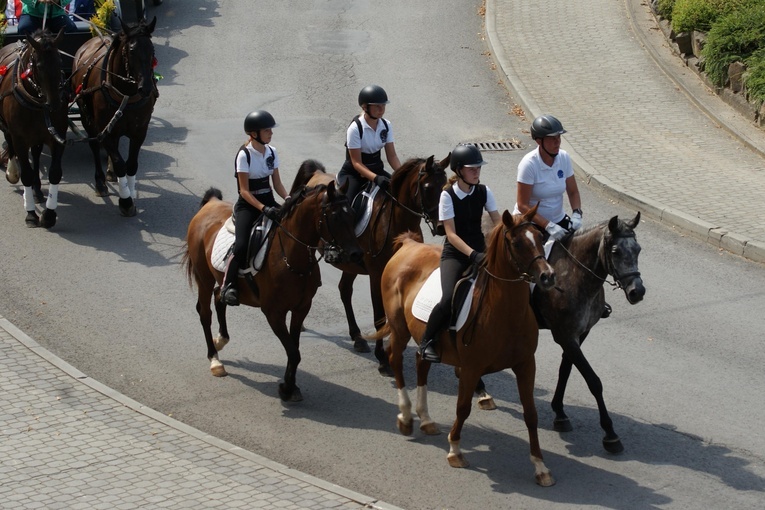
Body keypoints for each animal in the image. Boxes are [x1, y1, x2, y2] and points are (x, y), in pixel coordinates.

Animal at [70, 16, 157, 215]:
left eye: (152, 49)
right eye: (131, 50)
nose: (146, 88)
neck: (126, 94)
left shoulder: (139, 131)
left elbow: (131, 164)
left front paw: (129, 192)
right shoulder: (105, 130)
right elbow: (120, 163)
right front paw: (126, 201)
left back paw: (109, 174)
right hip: (87, 118)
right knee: (94, 145)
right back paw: (101, 182)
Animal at [185, 183, 364, 402]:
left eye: (353, 214)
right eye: (335, 216)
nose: (356, 254)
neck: (290, 257)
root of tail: (210, 204)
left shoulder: (301, 308)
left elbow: (294, 349)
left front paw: (291, 386)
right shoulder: (273, 313)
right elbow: (293, 352)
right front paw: (287, 388)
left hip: (220, 279)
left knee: (220, 297)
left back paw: (221, 339)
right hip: (204, 278)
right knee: (205, 312)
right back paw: (215, 359)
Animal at [290, 153, 448, 372]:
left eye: (445, 185)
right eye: (426, 187)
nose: (441, 226)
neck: (396, 219)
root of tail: (317, 173)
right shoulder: (376, 274)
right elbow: (379, 317)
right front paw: (382, 358)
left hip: (350, 264)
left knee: (344, 290)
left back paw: (357, 337)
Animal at [374, 207, 560, 486]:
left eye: (540, 237)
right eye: (517, 243)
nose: (547, 276)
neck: (505, 312)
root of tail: (409, 245)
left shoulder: (526, 365)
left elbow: (531, 413)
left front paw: (540, 466)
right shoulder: (472, 368)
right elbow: (462, 408)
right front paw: (455, 450)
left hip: (425, 339)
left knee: (421, 363)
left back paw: (426, 419)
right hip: (399, 328)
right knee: (396, 359)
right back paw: (406, 417)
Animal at [478, 213, 644, 452]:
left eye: (638, 249)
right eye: (615, 251)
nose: (637, 291)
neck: (576, 276)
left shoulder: (580, 334)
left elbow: (565, 369)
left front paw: (560, 413)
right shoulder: (564, 335)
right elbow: (593, 381)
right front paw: (610, 434)